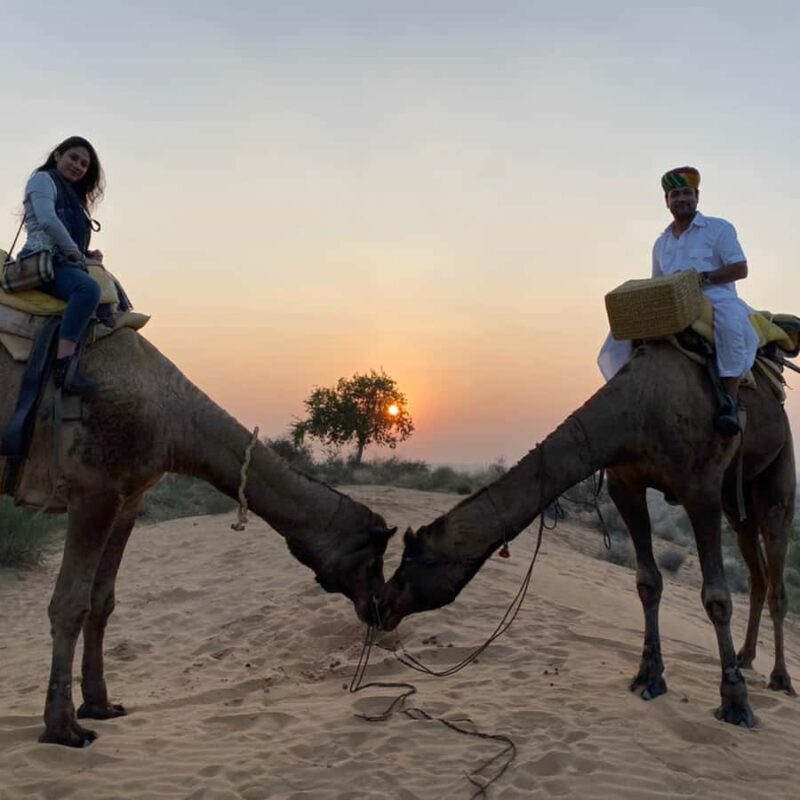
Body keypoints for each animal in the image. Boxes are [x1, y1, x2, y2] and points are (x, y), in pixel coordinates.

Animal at [0, 328, 396, 747]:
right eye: (373, 558)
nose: (381, 609)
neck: (177, 424)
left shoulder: (129, 497)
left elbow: (101, 601)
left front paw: (100, 705)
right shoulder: (94, 490)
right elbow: (71, 604)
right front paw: (63, 728)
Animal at [377, 340, 796, 727]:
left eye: (411, 562)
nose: (380, 606)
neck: (638, 411)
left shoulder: (700, 488)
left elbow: (717, 598)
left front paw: (736, 702)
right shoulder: (625, 484)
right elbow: (648, 582)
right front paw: (648, 677)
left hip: (778, 465)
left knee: (777, 567)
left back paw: (780, 678)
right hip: (735, 495)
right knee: (755, 569)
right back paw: (746, 657)